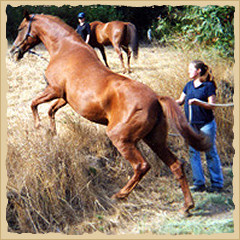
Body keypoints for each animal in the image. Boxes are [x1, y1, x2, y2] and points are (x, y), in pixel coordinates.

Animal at [10, 11, 211, 217]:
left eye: (20, 28)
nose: (13, 51)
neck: (65, 48)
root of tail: (156, 98)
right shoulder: (64, 98)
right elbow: (50, 110)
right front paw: (51, 132)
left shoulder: (54, 90)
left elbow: (34, 104)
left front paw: (38, 127)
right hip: (154, 140)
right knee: (176, 166)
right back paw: (187, 206)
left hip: (121, 138)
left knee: (142, 166)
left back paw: (120, 195)